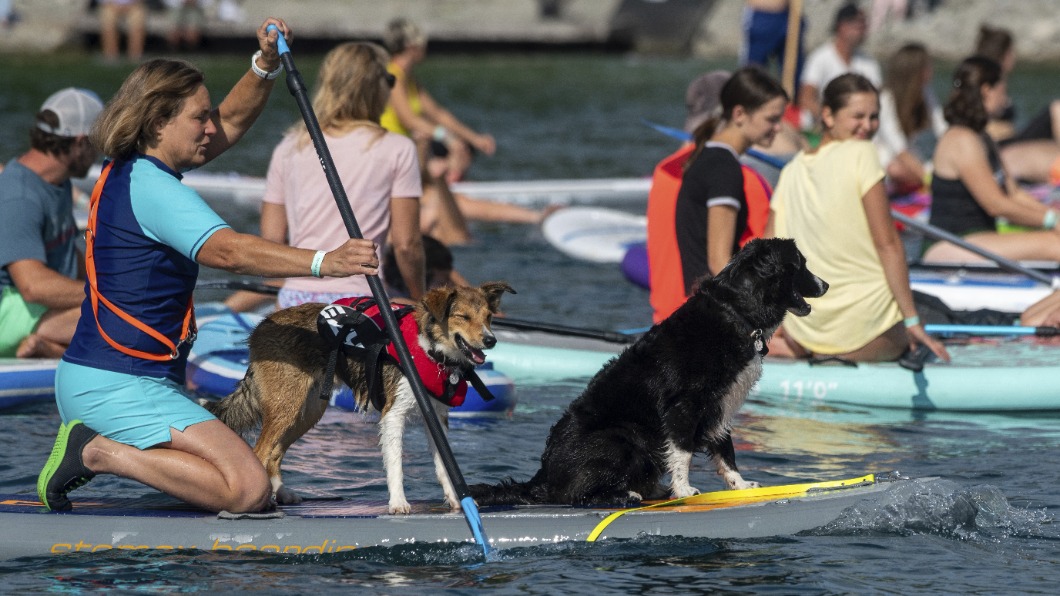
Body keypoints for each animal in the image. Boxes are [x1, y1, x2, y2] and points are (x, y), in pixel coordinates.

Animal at [204, 282, 515, 511]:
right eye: (463, 316)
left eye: (488, 317)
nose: (490, 340)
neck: (430, 350)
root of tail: (262, 325)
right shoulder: (393, 415)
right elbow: (396, 464)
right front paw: (398, 503)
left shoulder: (436, 417)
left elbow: (444, 465)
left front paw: (457, 501)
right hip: (286, 406)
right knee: (261, 451)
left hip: (308, 411)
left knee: (275, 453)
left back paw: (283, 494)